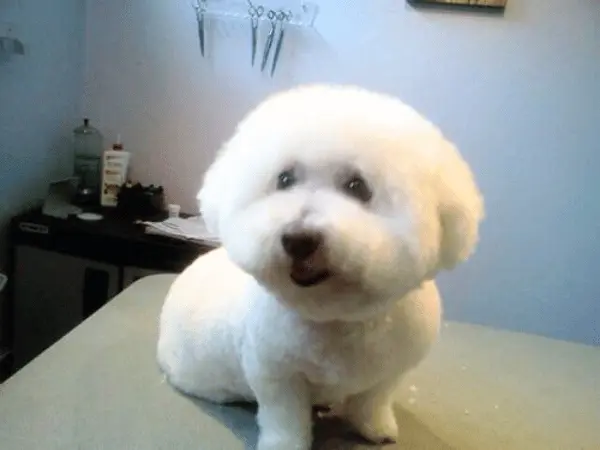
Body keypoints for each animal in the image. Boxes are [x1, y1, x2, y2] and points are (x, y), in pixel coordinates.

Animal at [156, 85, 482, 450]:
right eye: (284, 179)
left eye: (357, 186)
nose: (297, 239)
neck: (338, 318)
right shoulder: (276, 375)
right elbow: (284, 417)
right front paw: (284, 445)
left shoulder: (391, 372)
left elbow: (372, 401)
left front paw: (375, 428)